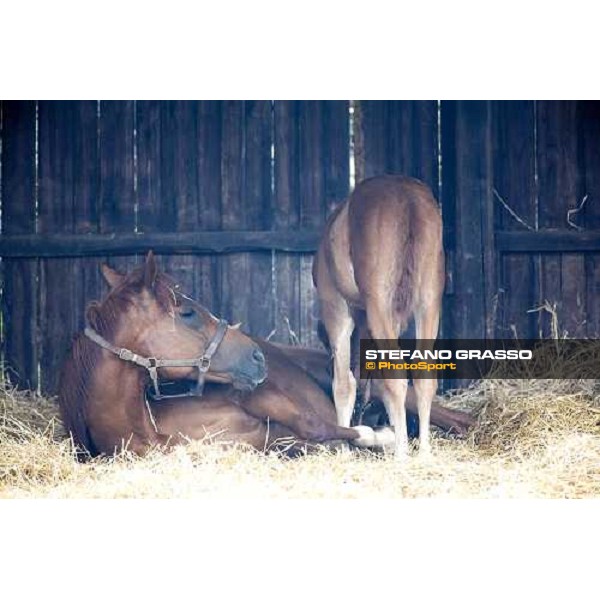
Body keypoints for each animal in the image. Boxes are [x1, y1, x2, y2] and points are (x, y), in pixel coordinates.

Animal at [57, 252, 394, 454]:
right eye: (188, 312)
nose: (258, 357)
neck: (150, 431)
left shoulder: (256, 395)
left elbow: (313, 425)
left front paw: (379, 435)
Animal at [314, 176, 446, 458]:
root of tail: (407, 197)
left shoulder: (336, 308)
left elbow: (344, 383)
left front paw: (344, 447)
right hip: (428, 301)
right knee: (423, 373)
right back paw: (424, 453)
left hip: (379, 303)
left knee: (396, 375)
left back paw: (402, 455)